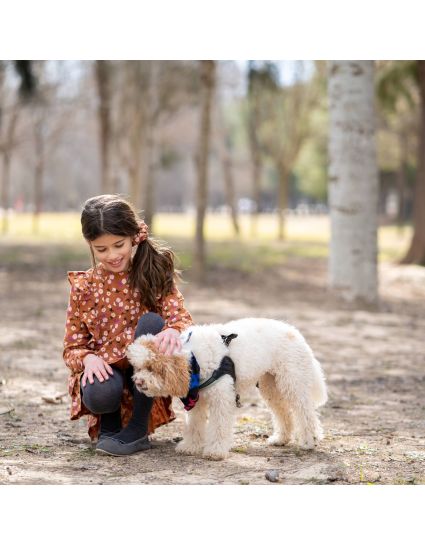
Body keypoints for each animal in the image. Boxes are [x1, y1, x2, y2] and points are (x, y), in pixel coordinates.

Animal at [127, 316, 326, 462]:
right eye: (138, 367)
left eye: (151, 367)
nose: (138, 382)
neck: (194, 358)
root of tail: (295, 333)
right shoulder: (197, 403)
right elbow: (194, 426)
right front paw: (190, 446)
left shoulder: (221, 399)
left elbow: (219, 426)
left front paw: (215, 451)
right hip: (271, 386)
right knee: (283, 412)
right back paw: (281, 439)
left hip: (293, 382)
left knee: (305, 412)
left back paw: (309, 441)